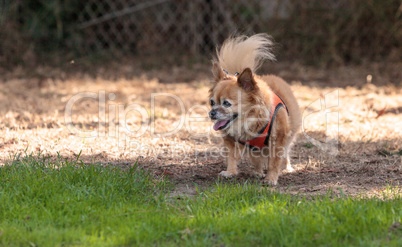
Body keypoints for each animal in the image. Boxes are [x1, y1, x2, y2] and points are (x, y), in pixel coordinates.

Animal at [210, 34, 302, 185]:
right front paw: (230, 172)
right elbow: (231, 157)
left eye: (226, 104)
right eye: (212, 102)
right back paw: (257, 172)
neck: (250, 119)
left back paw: (286, 168)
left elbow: (274, 162)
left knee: (285, 153)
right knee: (257, 158)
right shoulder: (231, 140)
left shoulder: (278, 140)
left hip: (288, 137)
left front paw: (271, 179)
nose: (211, 113)